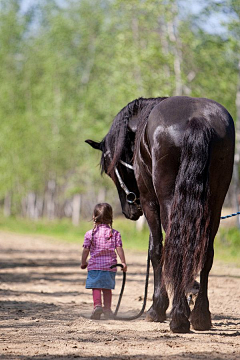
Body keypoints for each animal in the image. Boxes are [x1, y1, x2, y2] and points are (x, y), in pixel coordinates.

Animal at [86, 96, 234, 334]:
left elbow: (156, 250)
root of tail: (198, 118)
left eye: (110, 170)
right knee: (206, 253)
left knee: (177, 247)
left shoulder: (149, 202)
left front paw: (157, 308)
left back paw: (179, 317)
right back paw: (201, 316)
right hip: (215, 204)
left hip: (167, 201)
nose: (130, 209)